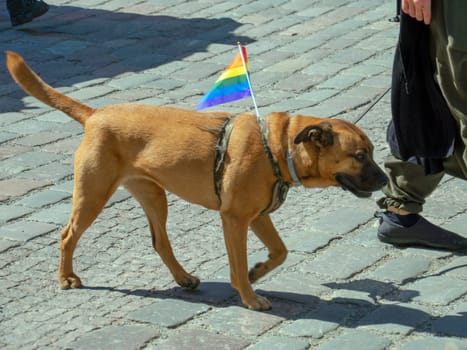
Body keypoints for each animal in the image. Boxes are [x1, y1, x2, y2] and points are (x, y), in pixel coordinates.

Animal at [6, 51, 388, 308]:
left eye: (370, 151)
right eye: (360, 156)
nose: (386, 179)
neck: (277, 147)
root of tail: (96, 114)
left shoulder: (258, 215)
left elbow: (280, 251)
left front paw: (258, 271)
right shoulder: (234, 219)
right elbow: (238, 264)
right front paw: (249, 295)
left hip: (153, 196)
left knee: (160, 241)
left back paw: (183, 277)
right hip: (93, 194)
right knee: (67, 235)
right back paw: (66, 277)